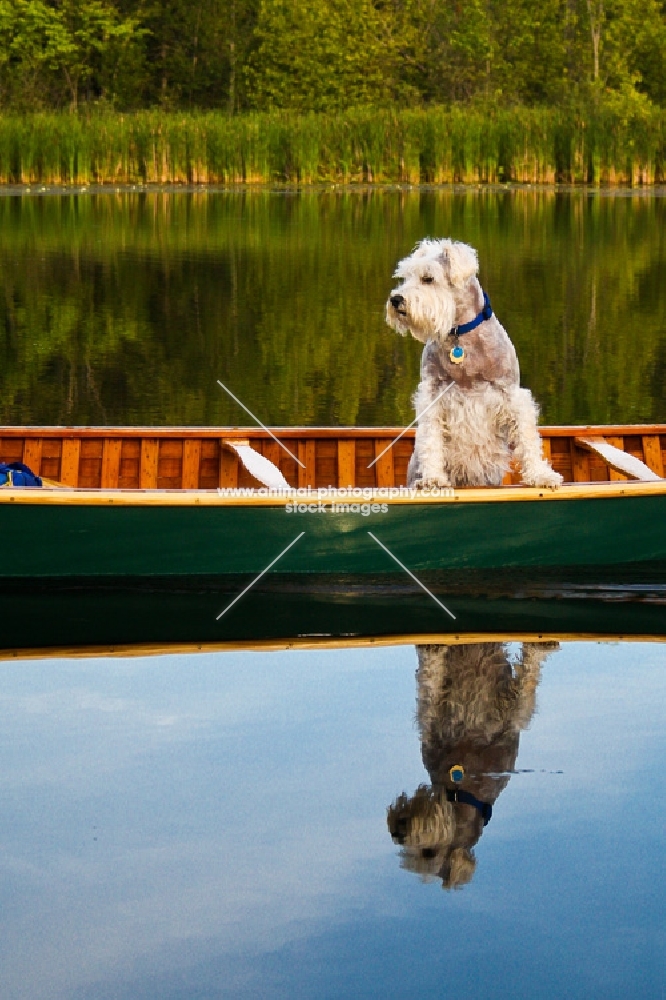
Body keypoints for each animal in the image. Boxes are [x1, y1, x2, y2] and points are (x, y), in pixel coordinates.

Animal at [384, 242, 560, 492]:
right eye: (406, 276)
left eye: (428, 278)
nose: (396, 300)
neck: (459, 334)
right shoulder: (432, 395)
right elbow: (431, 439)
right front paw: (433, 478)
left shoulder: (511, 393)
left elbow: (527, 438)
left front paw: (541, 475)